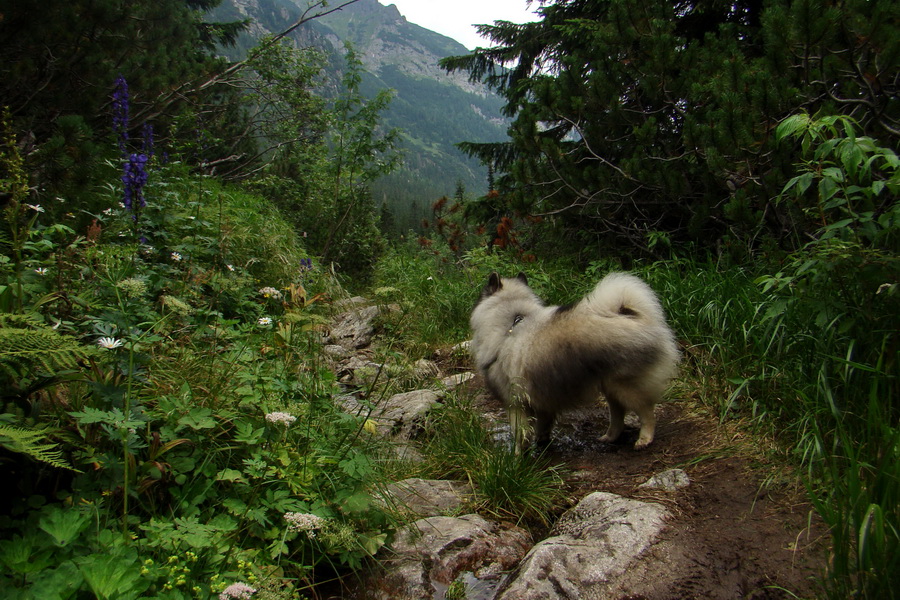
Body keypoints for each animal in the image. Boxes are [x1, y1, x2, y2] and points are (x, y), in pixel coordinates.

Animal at [472, 272, 676, 450]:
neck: (512, 323)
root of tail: (635, 317)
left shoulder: (515, 404)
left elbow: (520, 435)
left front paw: (518, 458)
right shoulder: (542, 401)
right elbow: (542, 426)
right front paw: (541, 442)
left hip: (626, 386)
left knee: (646, 412)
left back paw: (644, 439)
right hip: (610, 386)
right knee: (618, 414)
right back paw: (609, 437)